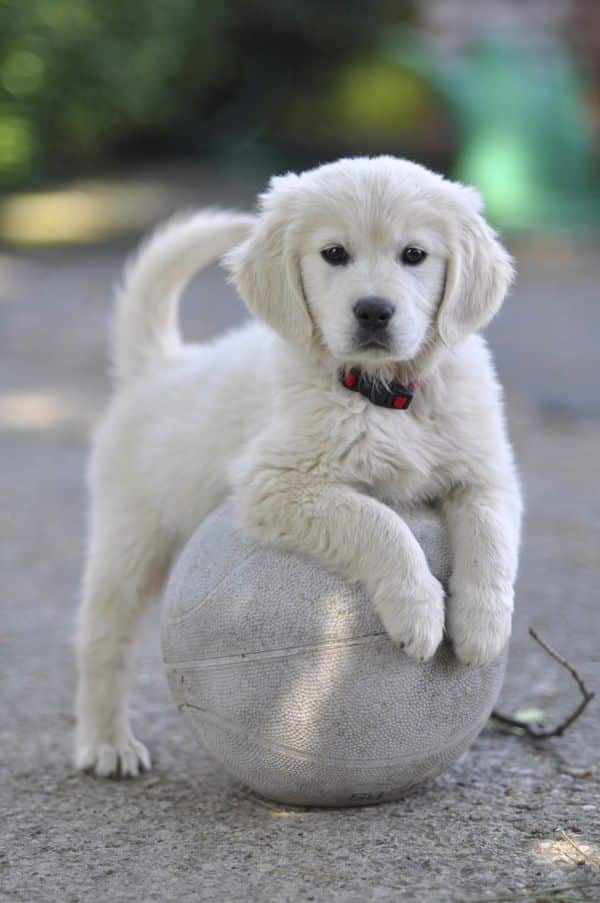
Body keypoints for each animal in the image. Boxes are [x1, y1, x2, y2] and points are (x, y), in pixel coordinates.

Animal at [75, 155, 524, 776]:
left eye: (414, 254)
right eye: (333, 253)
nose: (373, 311)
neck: (381, 394)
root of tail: (160, 365)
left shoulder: (485, 470)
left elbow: (490, 535)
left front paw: (483, 624)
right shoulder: (277, 484)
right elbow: (378, 522)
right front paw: (418, 611)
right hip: (131, 535)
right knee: (103, 640)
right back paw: (106, 744)